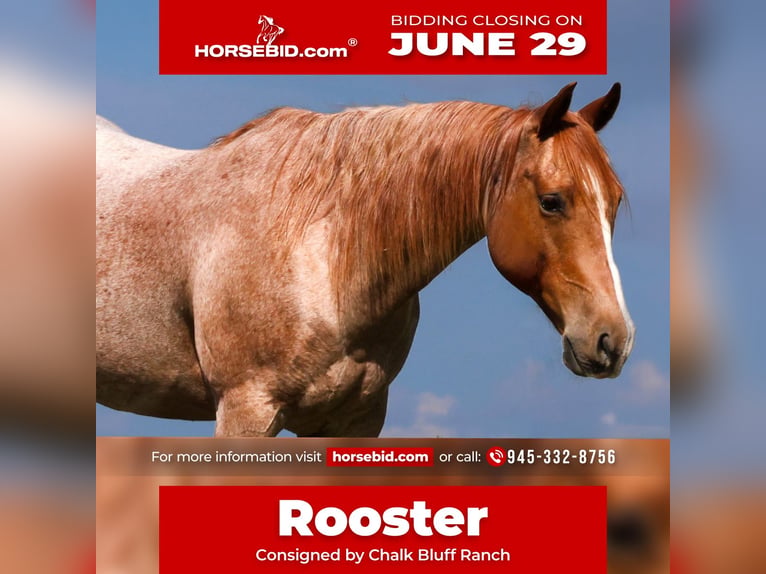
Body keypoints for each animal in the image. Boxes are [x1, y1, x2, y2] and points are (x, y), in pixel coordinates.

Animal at [96, 82, 634, 437]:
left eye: (614, 201)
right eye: (551, 201)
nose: (614, 340)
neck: (326, 253)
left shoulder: (354, 420)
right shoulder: (246, 409)